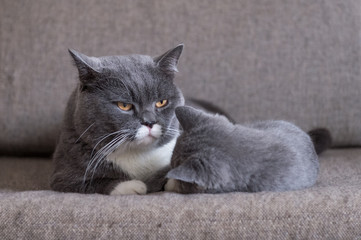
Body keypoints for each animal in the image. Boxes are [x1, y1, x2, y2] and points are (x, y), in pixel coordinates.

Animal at [50, 44, 186, 195]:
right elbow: (93, 183)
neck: (136, 153)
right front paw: (134, 186)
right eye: (124, 105)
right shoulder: (63, 176)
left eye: (161, 102)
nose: (149, 122)